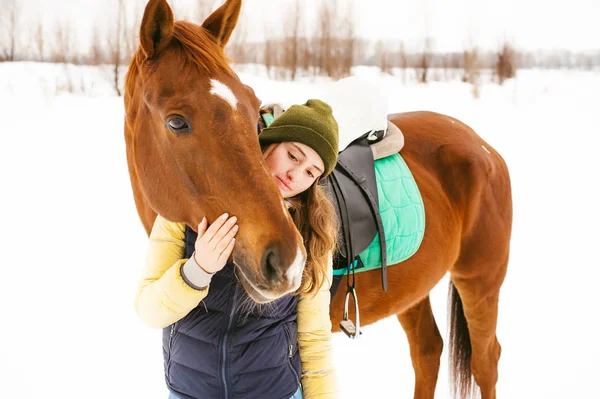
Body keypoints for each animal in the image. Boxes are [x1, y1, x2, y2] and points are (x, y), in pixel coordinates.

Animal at [124, 1, 512, 398]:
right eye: (176, 122)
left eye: (252, 104)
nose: (287, 260)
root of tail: (481, 146)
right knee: (427, 350)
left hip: (480, 279)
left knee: (485, 362)